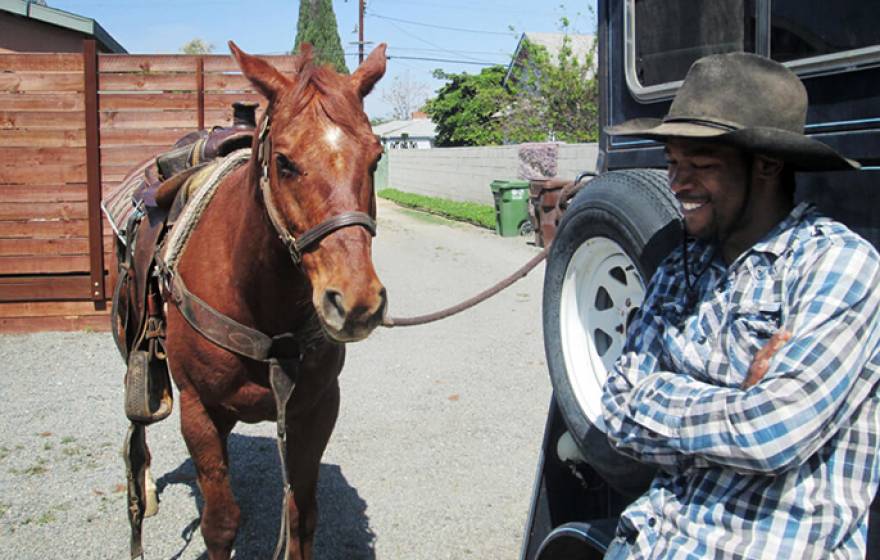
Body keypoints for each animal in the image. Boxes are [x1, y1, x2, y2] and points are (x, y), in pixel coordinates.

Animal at [153, 41, 386, 556]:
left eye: (377, 158)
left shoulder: (316, 409)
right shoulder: (197, 410)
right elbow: (220, 523)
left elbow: (301, 517)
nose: (356, 302)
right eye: (284, 162)